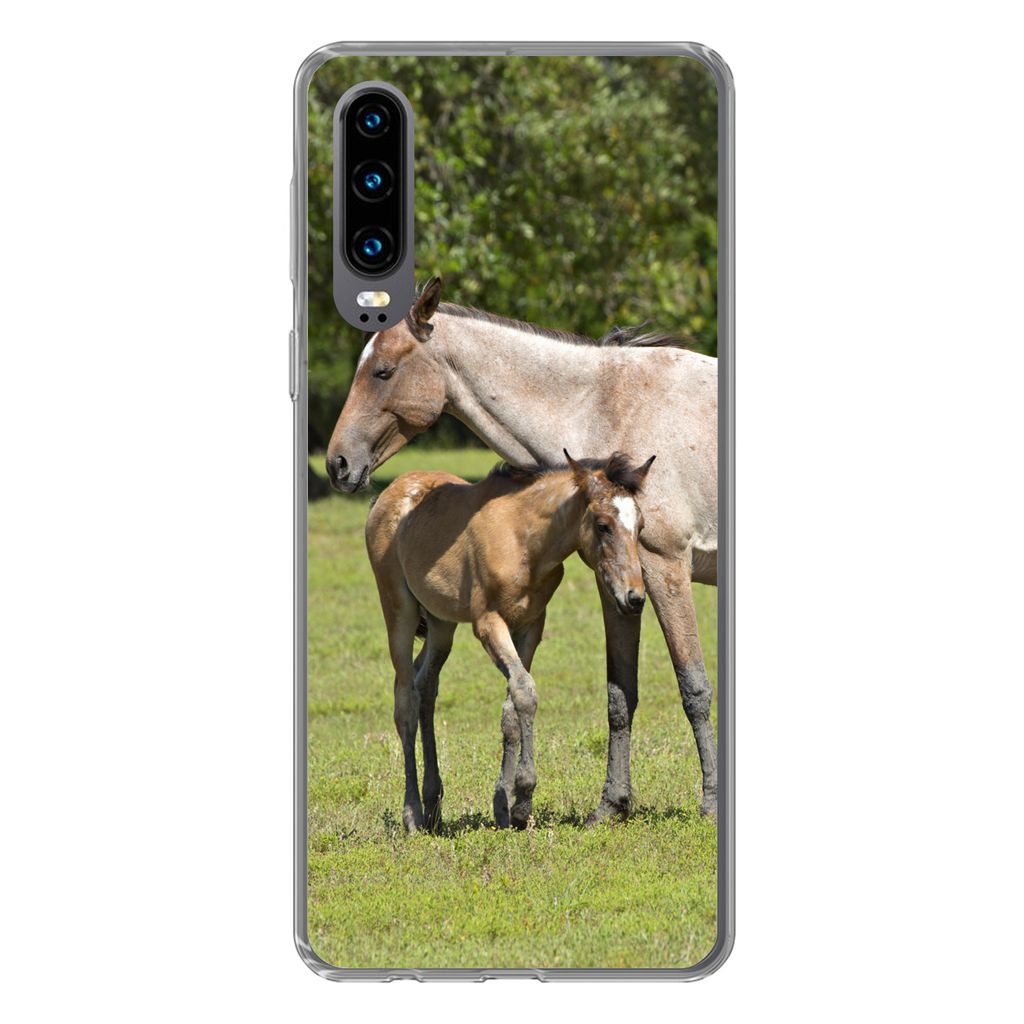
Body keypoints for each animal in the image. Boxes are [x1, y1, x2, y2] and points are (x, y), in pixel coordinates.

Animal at [365, 451, 654, 833]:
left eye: (641, 527)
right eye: (603, 524)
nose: (634, 598)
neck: (524, 542)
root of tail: (386, 494)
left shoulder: (531, 625)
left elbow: (511, 709)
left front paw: (505, 807)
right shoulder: (488, 623)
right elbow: (525, 693)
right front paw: (524, 797)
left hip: (441, 624)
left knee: (425, 685)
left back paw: (433, 805)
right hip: (398, 609)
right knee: (405, 700)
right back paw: (412, 813)